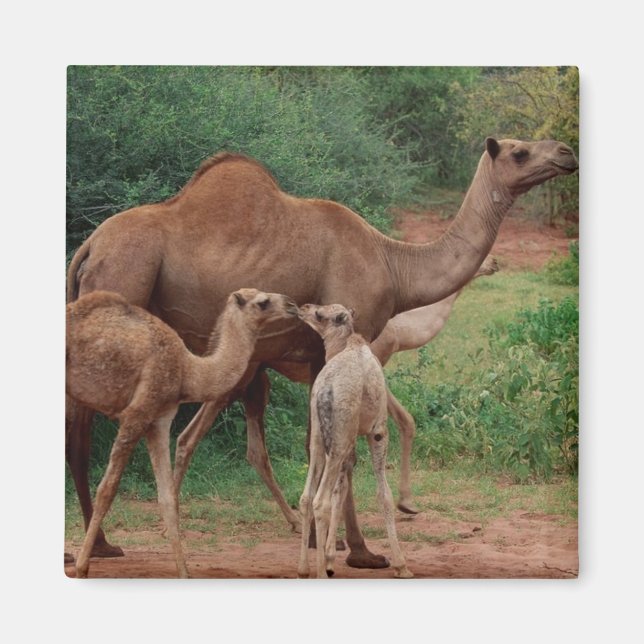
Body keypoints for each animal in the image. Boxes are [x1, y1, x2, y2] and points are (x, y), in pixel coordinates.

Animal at [66, 288, 298, 577]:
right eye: (262, 302)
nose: (292, 305)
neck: (189, 371)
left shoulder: (159, 421)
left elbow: (167, 498)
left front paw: (184, 572)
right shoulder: (135, 415)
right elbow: (106, 490)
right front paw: (82, 567)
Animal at [296, 303, 413, 579]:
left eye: (320, 313)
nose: (303, 308)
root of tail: (326, 391)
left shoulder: (343, 441)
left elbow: (342, 488)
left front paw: (330, 560)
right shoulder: (377, 431)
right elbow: (384, 494)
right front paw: (401, 565)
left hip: (321, 437)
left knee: (307, 497)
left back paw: (304, 569)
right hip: (342, 436)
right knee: (320, 500)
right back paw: (319, 573)